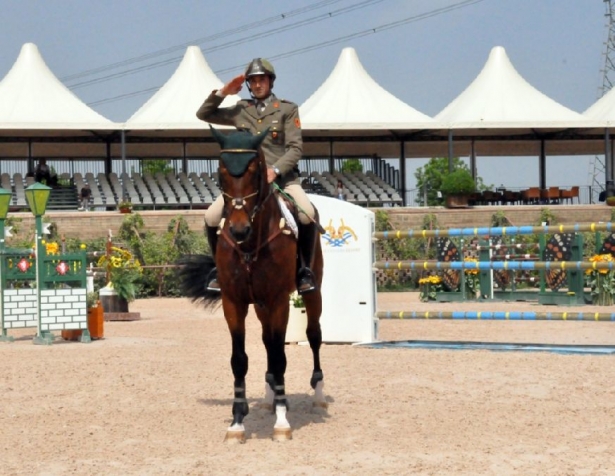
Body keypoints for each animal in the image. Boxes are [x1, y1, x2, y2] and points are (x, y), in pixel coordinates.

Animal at [180, 127, 328, 442]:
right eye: (221, 172)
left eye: (255, 172)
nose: (238, 229)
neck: (250, 245)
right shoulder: (234, 302)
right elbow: (240, 359)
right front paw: (237, 421)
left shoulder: (279, 301)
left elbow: (281, 356)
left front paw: (282, 423)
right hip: (260, 306)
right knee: (268, 342)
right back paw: (270, 397)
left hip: (312, 293)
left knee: (313, 336)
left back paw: (318, 395)